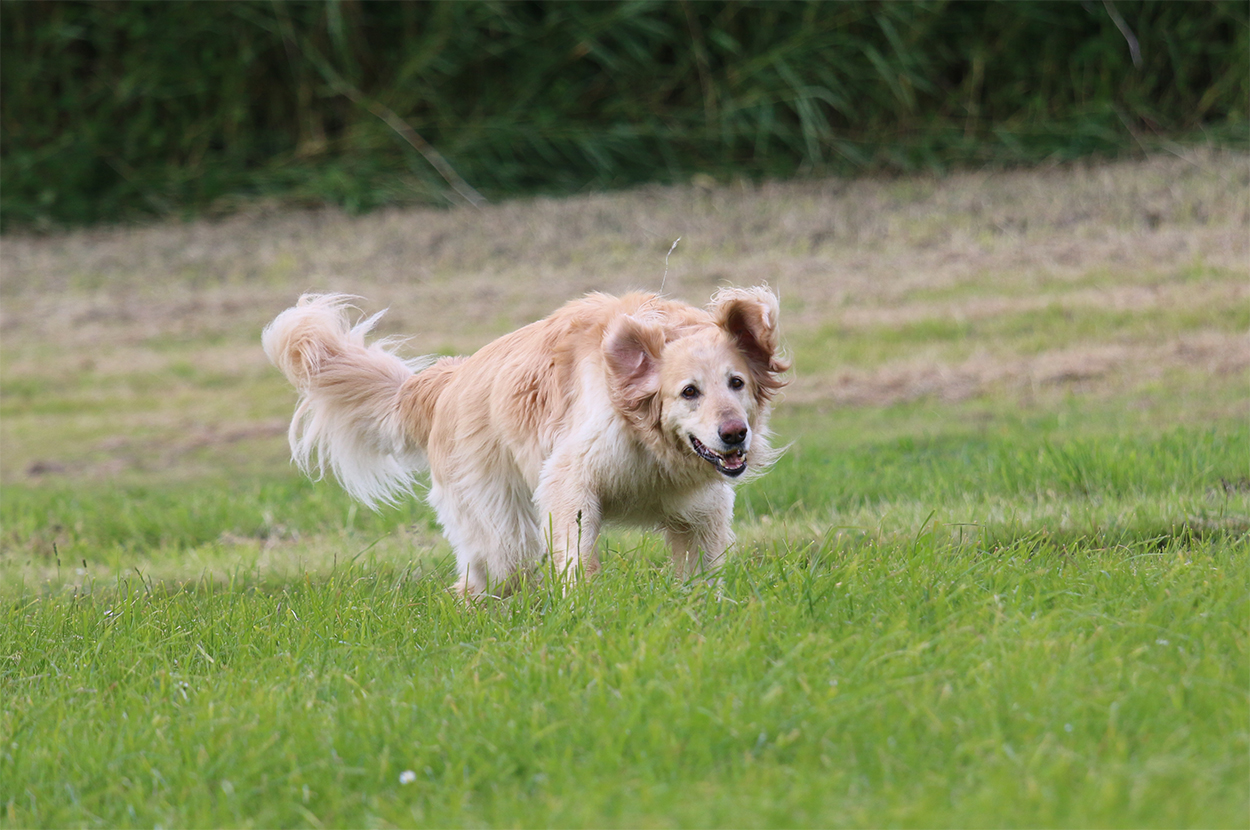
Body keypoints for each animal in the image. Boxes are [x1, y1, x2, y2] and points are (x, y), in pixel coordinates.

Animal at [263, 286, 788, 598]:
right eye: (689, 392)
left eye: (737, 383)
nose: (734, 433)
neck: (649, 440)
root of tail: (449, 380)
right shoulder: (571, 481)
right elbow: (577, 555)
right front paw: (583, 608)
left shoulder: (701, 509)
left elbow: (704, 571)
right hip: (501, 528)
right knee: (486, 576)